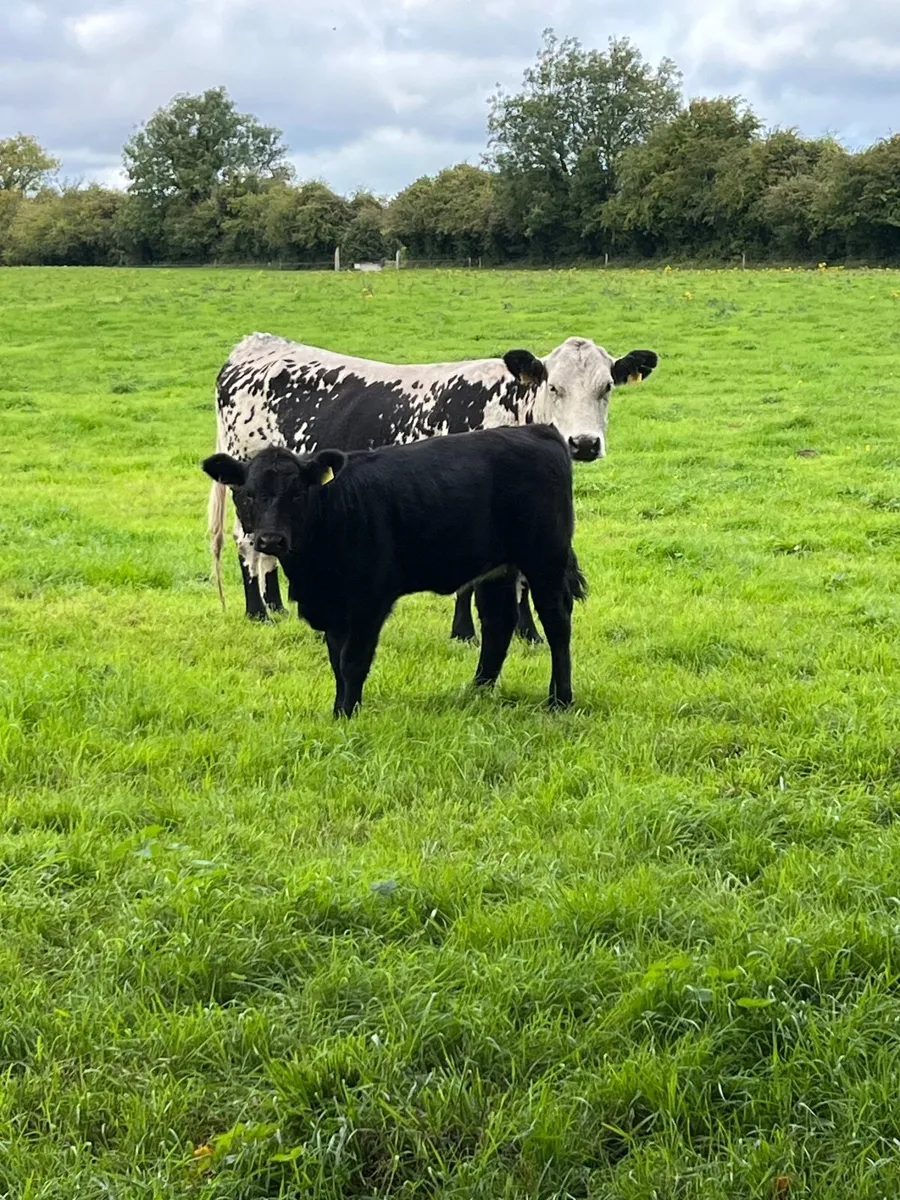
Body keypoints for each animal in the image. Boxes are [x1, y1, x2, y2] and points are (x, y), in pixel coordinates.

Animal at [202, 425, 587, 718]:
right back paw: (476, 690)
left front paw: (347, 715)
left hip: (545, 558)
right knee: (498, 622)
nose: (270, 539)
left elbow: (352, 661)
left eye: (298, 494)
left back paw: (560, 700)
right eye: (248, 494)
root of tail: (537, 430)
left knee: (557, 623)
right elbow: (336, 662)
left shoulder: (368, 601)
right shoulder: (333, 607)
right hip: (498, 567)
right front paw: (339, 710)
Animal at [207, 332, 657, 639]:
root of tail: (255, 345)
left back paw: (277, 607)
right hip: (247, 488)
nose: (584, 443)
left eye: (607, 388)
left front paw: (527, 634)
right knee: (247, 542)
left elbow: (521, 576)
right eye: (553, 387)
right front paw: (464, 633)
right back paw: (258, 613)